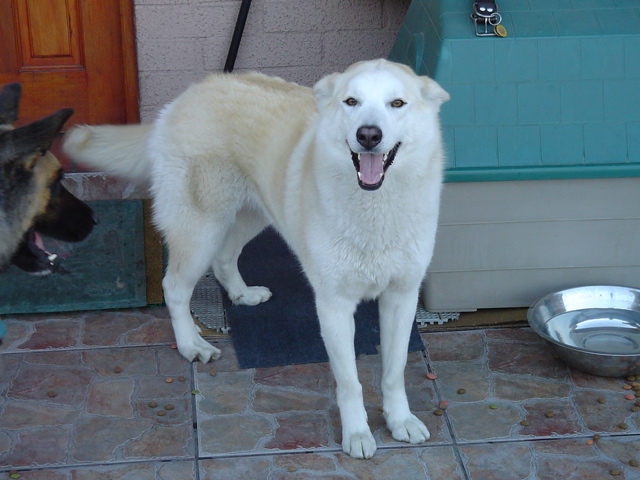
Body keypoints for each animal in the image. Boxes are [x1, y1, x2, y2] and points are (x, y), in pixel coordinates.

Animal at [62, 60, 448, 458]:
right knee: (175, 287)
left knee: (224, 258)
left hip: (252, 214)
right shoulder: (334, 305)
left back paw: (242, 295)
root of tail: (189, 94)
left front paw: (400, 420)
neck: (375, 204)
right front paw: (357, 433)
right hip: (202, 228)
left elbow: (394, 371)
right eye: (351, 101)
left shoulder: (402, 298)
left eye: (397, 103)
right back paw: (190, 345)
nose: (368, 135)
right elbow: (350, 382)